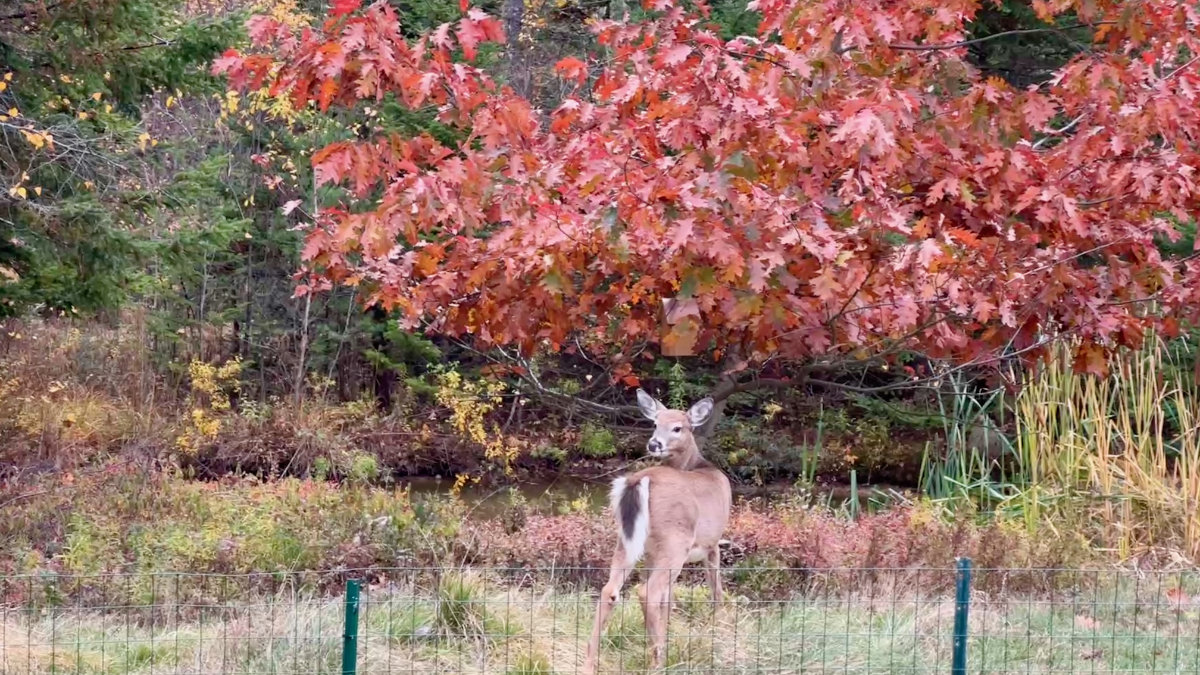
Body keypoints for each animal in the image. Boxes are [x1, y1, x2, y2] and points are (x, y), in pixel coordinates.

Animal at [583, 389, 733, 674]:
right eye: (655, 423)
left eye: (677, 427)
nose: (654, 444)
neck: (698, 465)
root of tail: (640, 479)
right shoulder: (713, 542)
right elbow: (715, 591)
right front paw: (719, 629)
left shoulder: (652, 554)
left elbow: (669, 600)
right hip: (676, 542)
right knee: (648, 592)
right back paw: (658, 660)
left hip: (628, 540)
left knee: (611, 590)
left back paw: (590, 661)